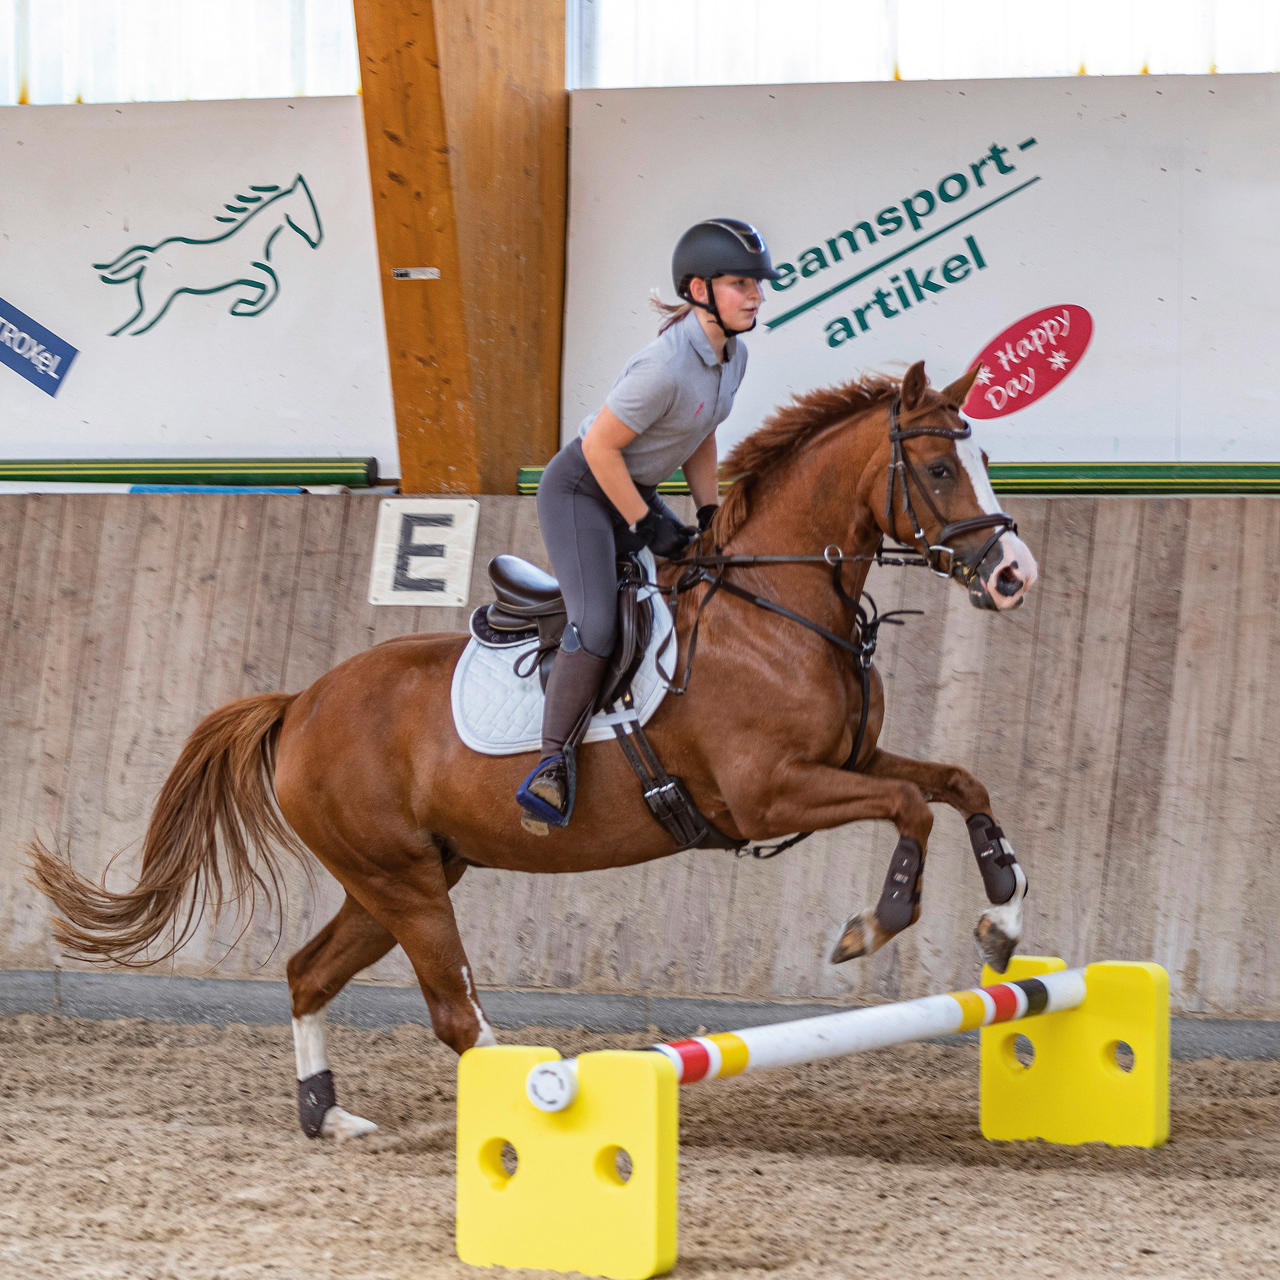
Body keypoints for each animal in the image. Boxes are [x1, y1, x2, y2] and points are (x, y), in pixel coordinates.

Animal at [30, 360, 1034, 1141]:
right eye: (939, 466)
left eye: (983, 460)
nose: (1012, 576)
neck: (776, 609)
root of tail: (302, 703)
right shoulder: (769, 794)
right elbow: (910, 809)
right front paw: (877, 921)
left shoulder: (849, 763)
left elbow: (959, 783)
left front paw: (1002, 917)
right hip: (404, 882)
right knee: (455, 1014)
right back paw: (533, 1103)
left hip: (400, 878)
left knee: (310, 972)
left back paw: (329, 1114)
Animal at [94, 174, 322, 335]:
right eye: (306, 208)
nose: (317, 238)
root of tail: (151, 256)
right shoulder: (247, 272)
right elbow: (270, 281)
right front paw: (243, 305)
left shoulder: (250, 274)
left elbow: (270, 281)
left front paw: (243, 305)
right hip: (156, 296)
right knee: (136, 323)